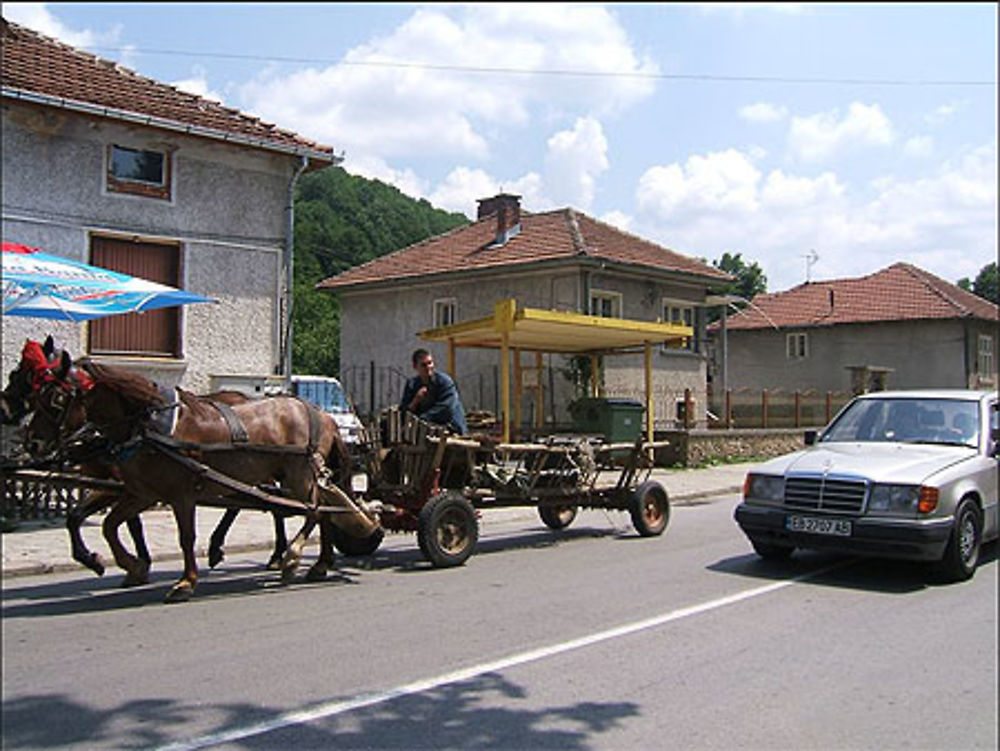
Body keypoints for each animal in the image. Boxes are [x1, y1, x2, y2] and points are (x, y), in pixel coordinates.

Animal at [27, 354, 378, 604]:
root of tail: (323, 415)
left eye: (57, 398)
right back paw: (318, 564)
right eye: (36, 394)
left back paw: (291, 558)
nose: (31, 442)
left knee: (315, 511)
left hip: (299, 475)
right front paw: (128, 565)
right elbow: (110, 525)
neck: (152, 426)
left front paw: (185, 582)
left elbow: (185, 538)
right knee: (323, 511)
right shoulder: (142, 493)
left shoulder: (181, 494)